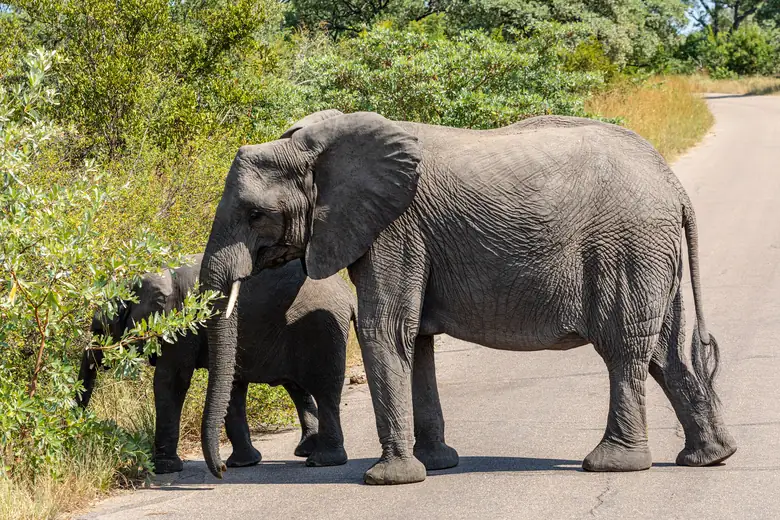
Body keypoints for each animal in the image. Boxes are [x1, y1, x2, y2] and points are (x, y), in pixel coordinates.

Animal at [78, 253, 355, 473]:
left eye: (99, 330)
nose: (221, 468)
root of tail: (348, 294)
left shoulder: (181, 322)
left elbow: (171, 380)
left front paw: (165, 469)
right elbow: (232, 387)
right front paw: (243, 464)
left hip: (320, 329)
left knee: (325, 390)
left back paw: (322, 460)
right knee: (298, 388)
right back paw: (306, 451)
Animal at [197, 109, 737, 485]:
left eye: (255, 214)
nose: (223, 472)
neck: (317, 145)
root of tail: (674, 186)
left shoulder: (395, 230)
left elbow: (383, 330)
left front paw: (388, 480)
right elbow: (415, 339)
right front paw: (437, 464)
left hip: (627, 247)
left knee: (625, 348)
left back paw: (612, 465)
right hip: (651, 252)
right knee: (665, 351)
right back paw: (709, 458)